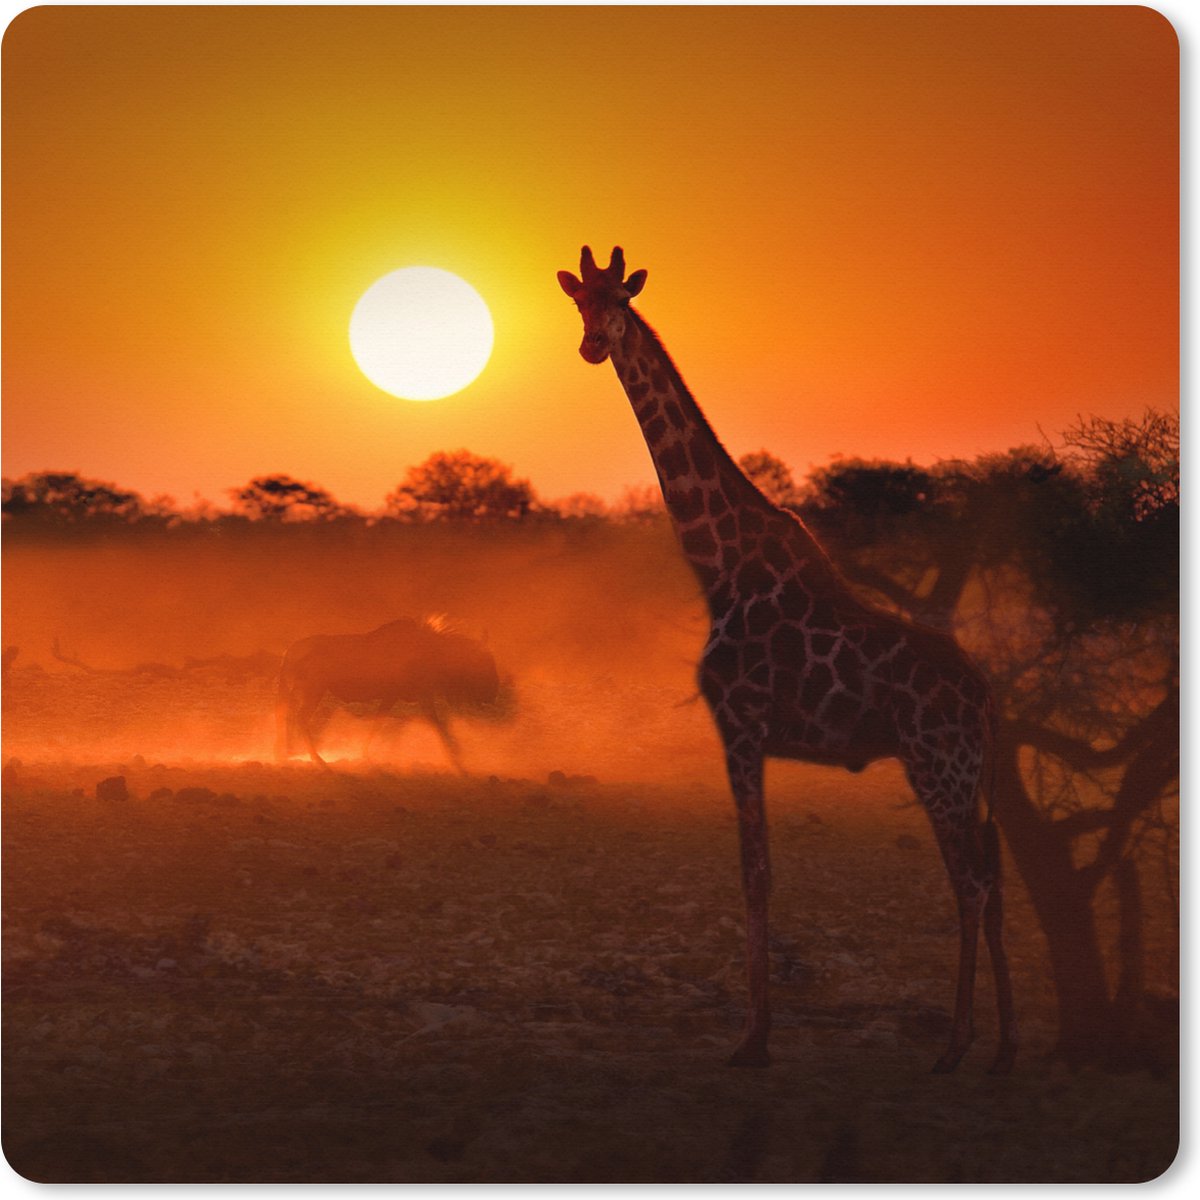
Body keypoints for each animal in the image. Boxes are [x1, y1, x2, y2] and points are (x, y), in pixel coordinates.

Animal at [558, 246, 1017, 1074]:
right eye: (581, 302)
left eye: (621, 300)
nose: (592, 346)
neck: (717, 566)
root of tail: (989, 702)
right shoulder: (750, 733)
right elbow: (759, 870)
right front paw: (757, 1032)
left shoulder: (738, 723)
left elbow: (756, 872)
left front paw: (753, 1039)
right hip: (964, 776)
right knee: (992, 879)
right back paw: (1004, 1050)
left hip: (939, 766)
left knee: (969, 882)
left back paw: (956, 1047)